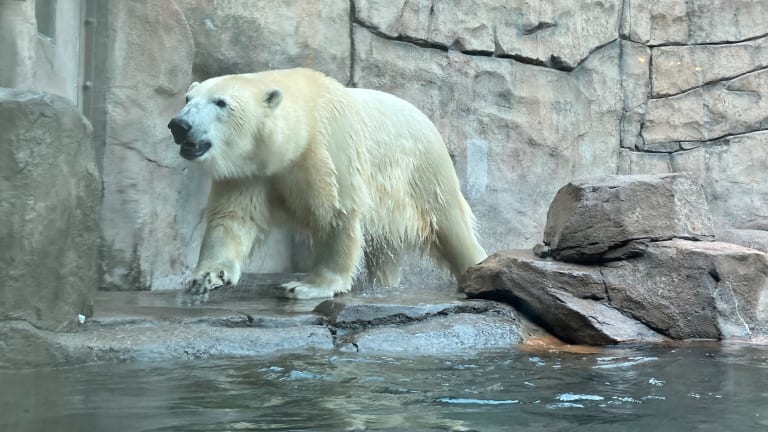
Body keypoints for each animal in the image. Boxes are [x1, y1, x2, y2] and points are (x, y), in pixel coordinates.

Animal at [168, 67, 486, 298]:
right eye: (188, 99)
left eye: (221, 103)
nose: (179, 125)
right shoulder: (248, 169)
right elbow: (233, 217)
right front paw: (206, 276)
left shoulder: (330, 147)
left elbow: (337, 213)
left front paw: (305, 286)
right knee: (386, 250)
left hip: (423, 170)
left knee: (450, 226)